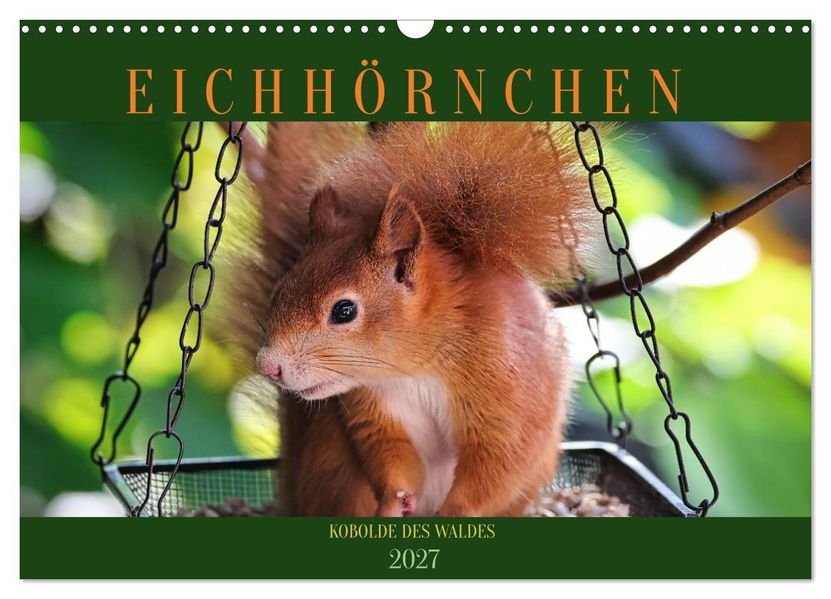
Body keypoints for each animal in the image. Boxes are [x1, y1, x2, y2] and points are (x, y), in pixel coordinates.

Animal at [224, 122, 595, 516]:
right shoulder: (377, 414)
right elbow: (395, 460)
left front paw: (456, 511)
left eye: (344, 310)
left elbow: (499, 465)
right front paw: (394, 501)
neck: (415, 368)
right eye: (279, 291)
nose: (268, 366)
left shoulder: (510, 397)